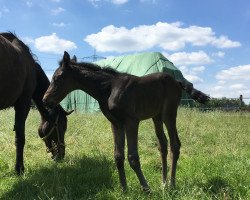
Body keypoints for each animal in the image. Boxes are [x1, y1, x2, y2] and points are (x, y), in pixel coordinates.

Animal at [43, 51, 209, 192]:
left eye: (57, 78)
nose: (45, 100)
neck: (109, 88)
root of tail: (177, 81)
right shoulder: (116, 123)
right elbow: (118, 156)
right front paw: (124, 189)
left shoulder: (131, 122)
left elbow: (133, 157)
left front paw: (146, 188)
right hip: (156, 117)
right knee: (163, 145)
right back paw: (163, 182)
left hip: (169, 114)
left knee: (175, 145)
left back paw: (172, 185)